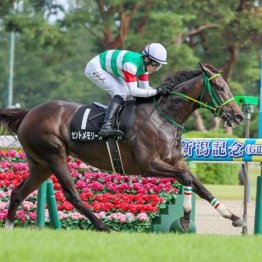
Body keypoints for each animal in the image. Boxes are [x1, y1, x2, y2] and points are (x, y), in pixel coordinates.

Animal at [1, 63, 245, 231]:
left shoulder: (175, 161)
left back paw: (10, 226)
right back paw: (104, 227)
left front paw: (233, 217)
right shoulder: (148, 165)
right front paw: (185, 219)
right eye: (220, 87)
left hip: (41, 164)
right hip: (55, 156)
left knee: (18, 192)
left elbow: (200, 187)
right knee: (72, 195)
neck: (163, 116)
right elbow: (186, 180)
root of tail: (29, 113)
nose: (239, 116)